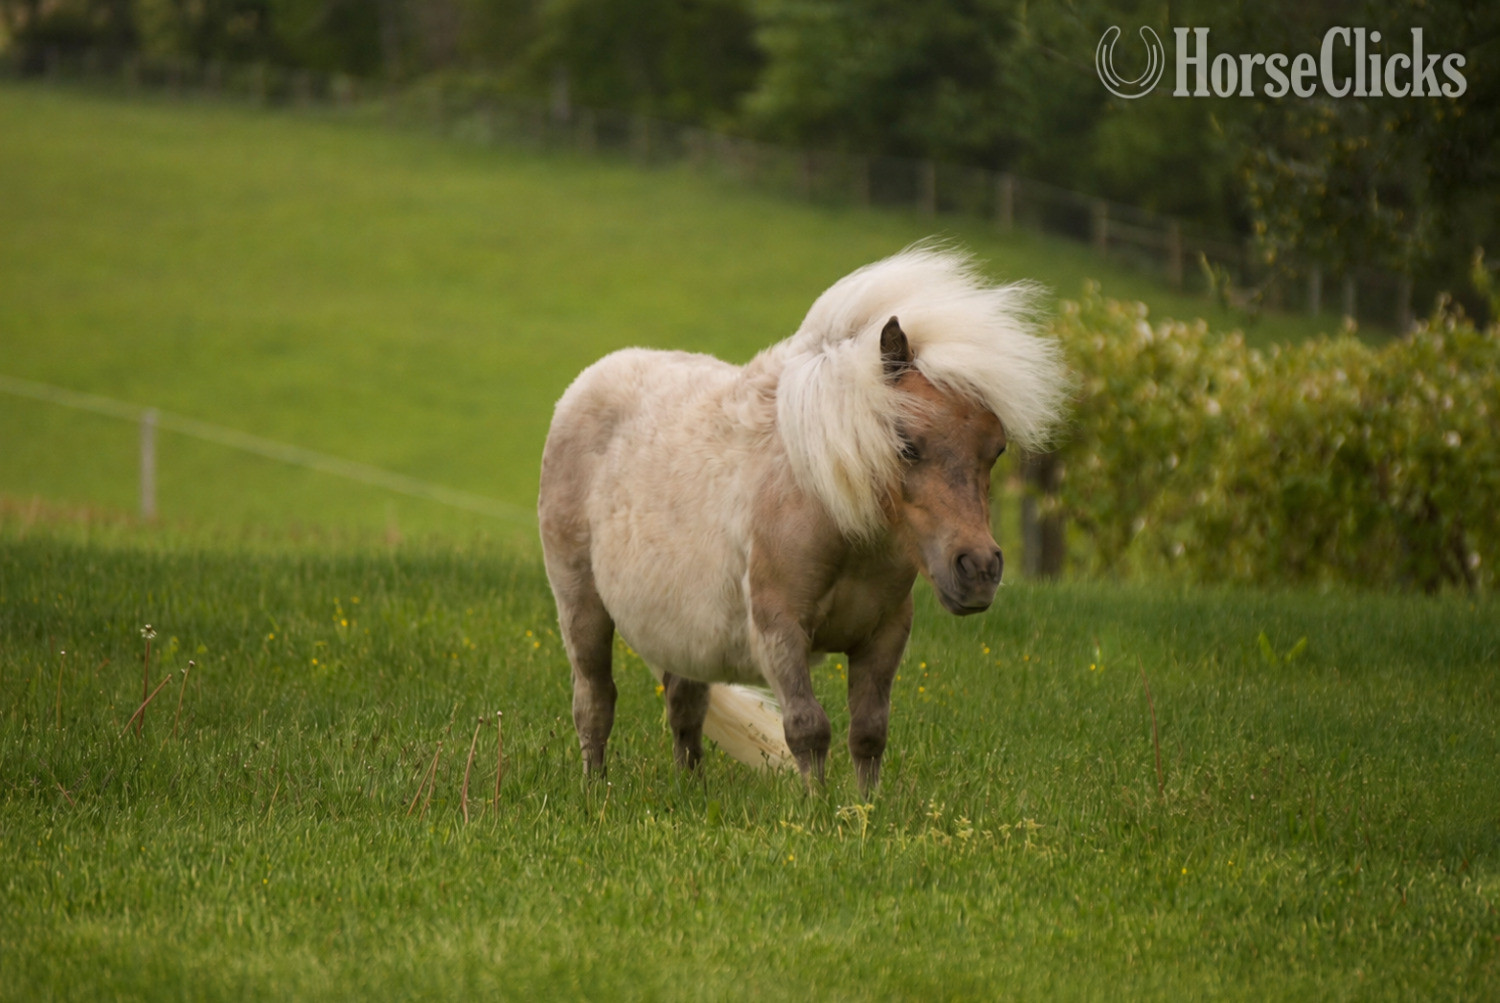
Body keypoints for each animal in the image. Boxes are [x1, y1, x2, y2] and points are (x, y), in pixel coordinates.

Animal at [538, 246, 1069, 796]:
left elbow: (869, 732)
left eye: (996, 450)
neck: (835, 514)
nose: (979, 569)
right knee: (595, 700)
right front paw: (816, 807)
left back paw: (691, 790)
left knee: (685, 706)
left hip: (682, 628)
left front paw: (866, 807)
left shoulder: (885, 635)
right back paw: (594, 788)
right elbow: (808, 728)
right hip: (581, 606)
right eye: (906, 445)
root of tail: (585, 383)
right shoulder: (780, 630)